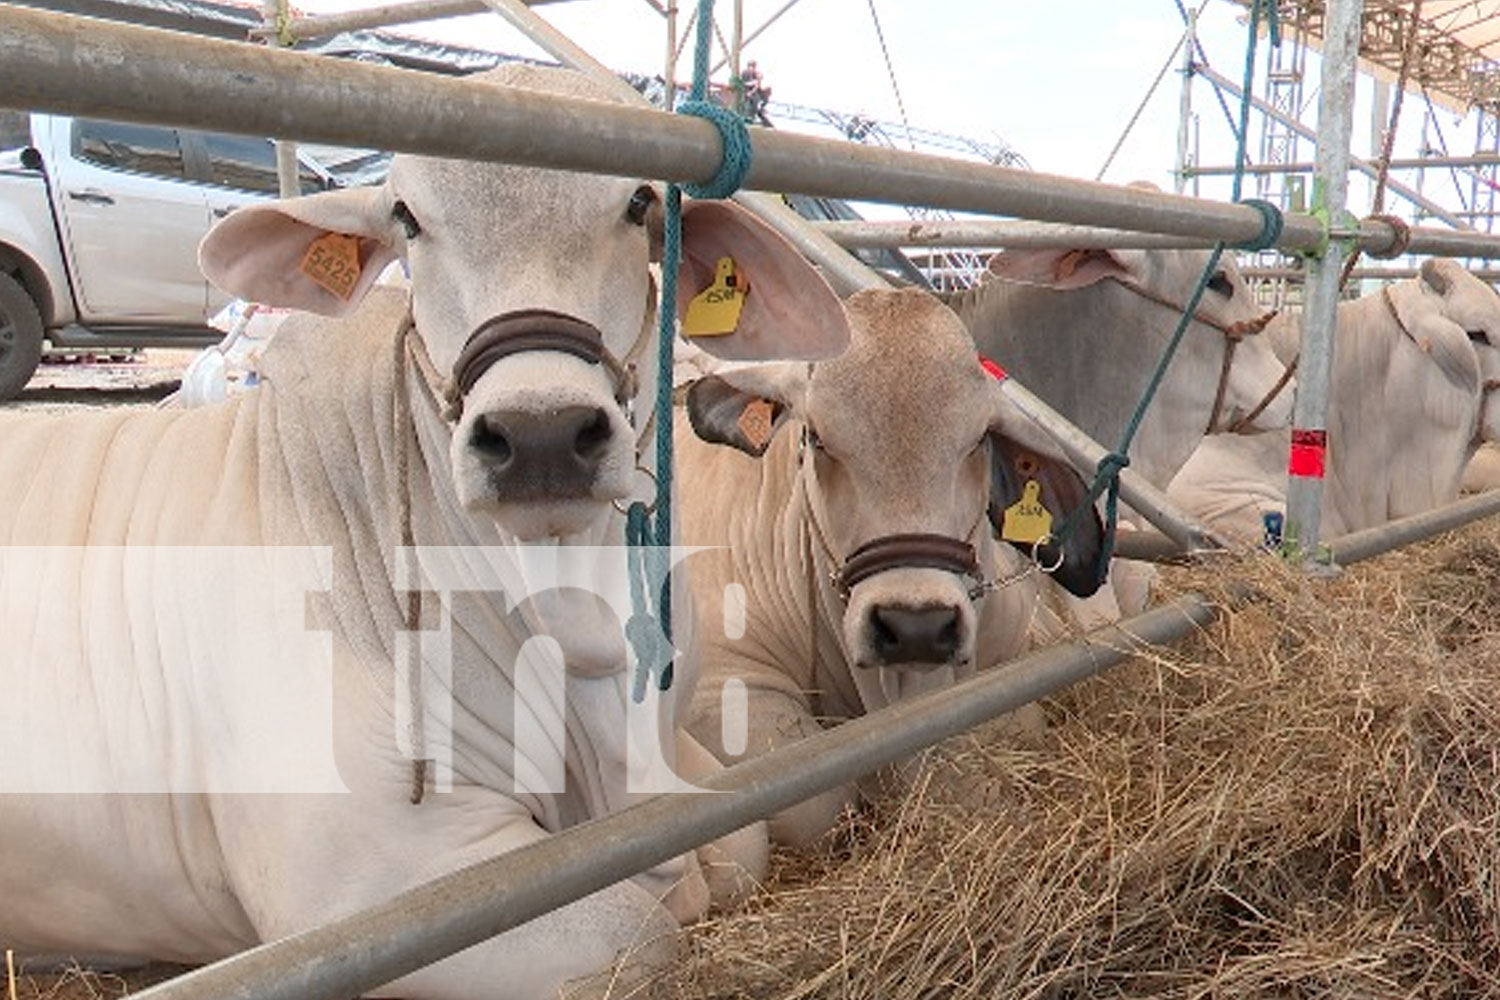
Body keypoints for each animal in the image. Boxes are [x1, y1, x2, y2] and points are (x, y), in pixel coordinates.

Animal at [0, 64, 852, 1000]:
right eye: (407, 217)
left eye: (637, 202)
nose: (541, 435)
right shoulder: (374, 878)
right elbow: (645, 927)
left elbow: (742, 845)